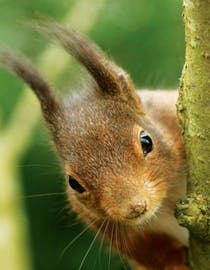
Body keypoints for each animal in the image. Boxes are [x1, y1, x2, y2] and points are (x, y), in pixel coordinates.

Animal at [0, 21, 189, 270]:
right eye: (74, 183)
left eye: (146, 141)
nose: (135, 207)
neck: (166, 201)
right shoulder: (131, 239)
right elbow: (160, 256)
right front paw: (177, 262)